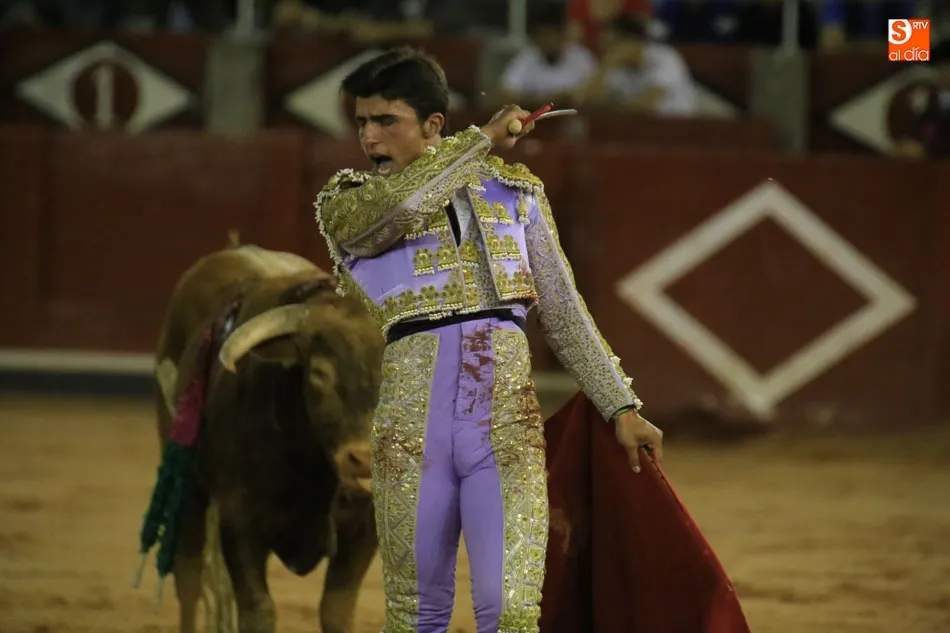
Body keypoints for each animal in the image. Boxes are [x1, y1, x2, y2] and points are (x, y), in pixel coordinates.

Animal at [153, 236, 384, 633]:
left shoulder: (363, 524)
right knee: (189, 577)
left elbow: (337, 610)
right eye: (319, 373)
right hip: (187, 483)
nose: (363, 458)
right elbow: (258, 610)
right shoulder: (238, 522)